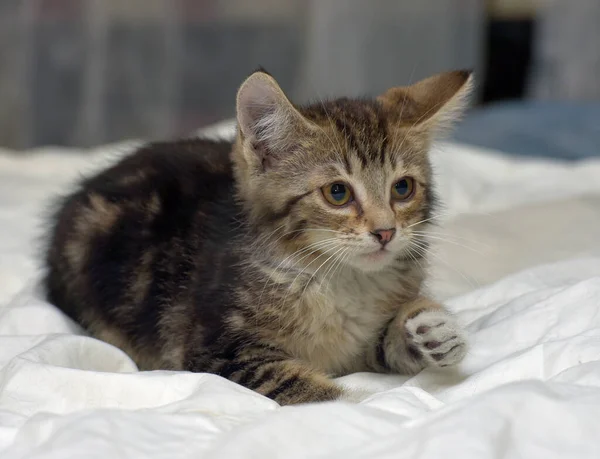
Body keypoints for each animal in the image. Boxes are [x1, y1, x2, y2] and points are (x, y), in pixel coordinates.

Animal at [43, 68, 474, 406]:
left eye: (403, 188)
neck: (339, 280)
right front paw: (364, 406)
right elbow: (309, 390)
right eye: (337, 193)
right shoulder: (215, 351)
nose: (385, 231)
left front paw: (433, 330)